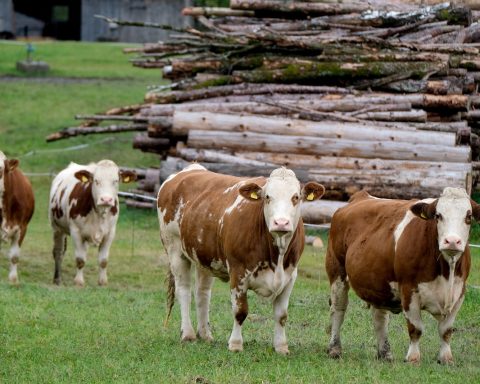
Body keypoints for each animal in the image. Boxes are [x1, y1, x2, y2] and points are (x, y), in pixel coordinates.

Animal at [158, 165, 326, 354]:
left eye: (296, 197)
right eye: (267, 197)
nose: (281, 223)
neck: (277, 257)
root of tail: (190, 169)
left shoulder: (290, 276)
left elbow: (281, 315)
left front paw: (281, 347)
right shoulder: (238, 272)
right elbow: (240, 311)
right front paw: (235, 344)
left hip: (204, 257)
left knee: (202, 293)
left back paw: (205, 334)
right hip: (174, 249)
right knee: (184, 291)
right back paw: (188, 334)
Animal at [326, 188, 476, 364]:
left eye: (468, 217)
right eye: (438, 215)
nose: (452, 241)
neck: (446, 273)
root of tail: (360, 197)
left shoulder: (459, 293)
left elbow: (446, 330)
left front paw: (446, 358)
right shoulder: (408, 289)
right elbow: (416, 328)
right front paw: (413, 358)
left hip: (379, 283)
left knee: (380, 318)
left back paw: (385, 353)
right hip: (337, 271)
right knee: (338, 309)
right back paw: (334, 349)